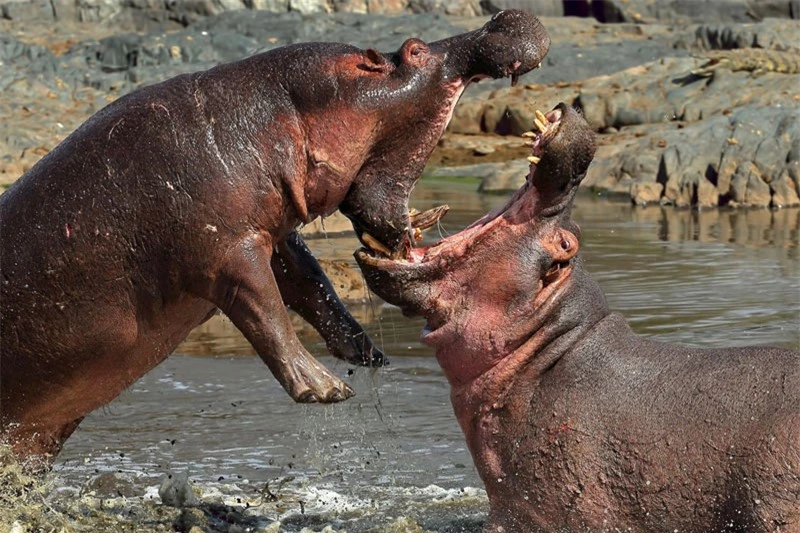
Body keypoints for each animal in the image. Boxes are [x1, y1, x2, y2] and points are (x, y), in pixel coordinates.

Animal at [0, 9, 552, 466]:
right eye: (414, 51)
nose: (502, 18)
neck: (274, 114)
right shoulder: (229, 251)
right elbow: (266, 312)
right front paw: (328, 391)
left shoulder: (277, 237)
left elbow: (312, 284)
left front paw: (366, 353)